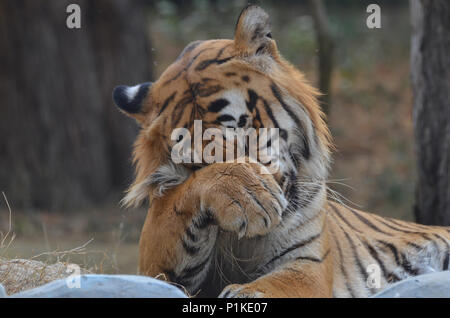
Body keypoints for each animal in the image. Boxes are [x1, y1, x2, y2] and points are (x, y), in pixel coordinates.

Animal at [111, 5, 446, 298]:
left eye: (242, 127)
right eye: (198, 165)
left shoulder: (307, 263)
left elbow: (275, 285)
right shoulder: (158, 269)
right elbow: (176, 205)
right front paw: (245, 195)